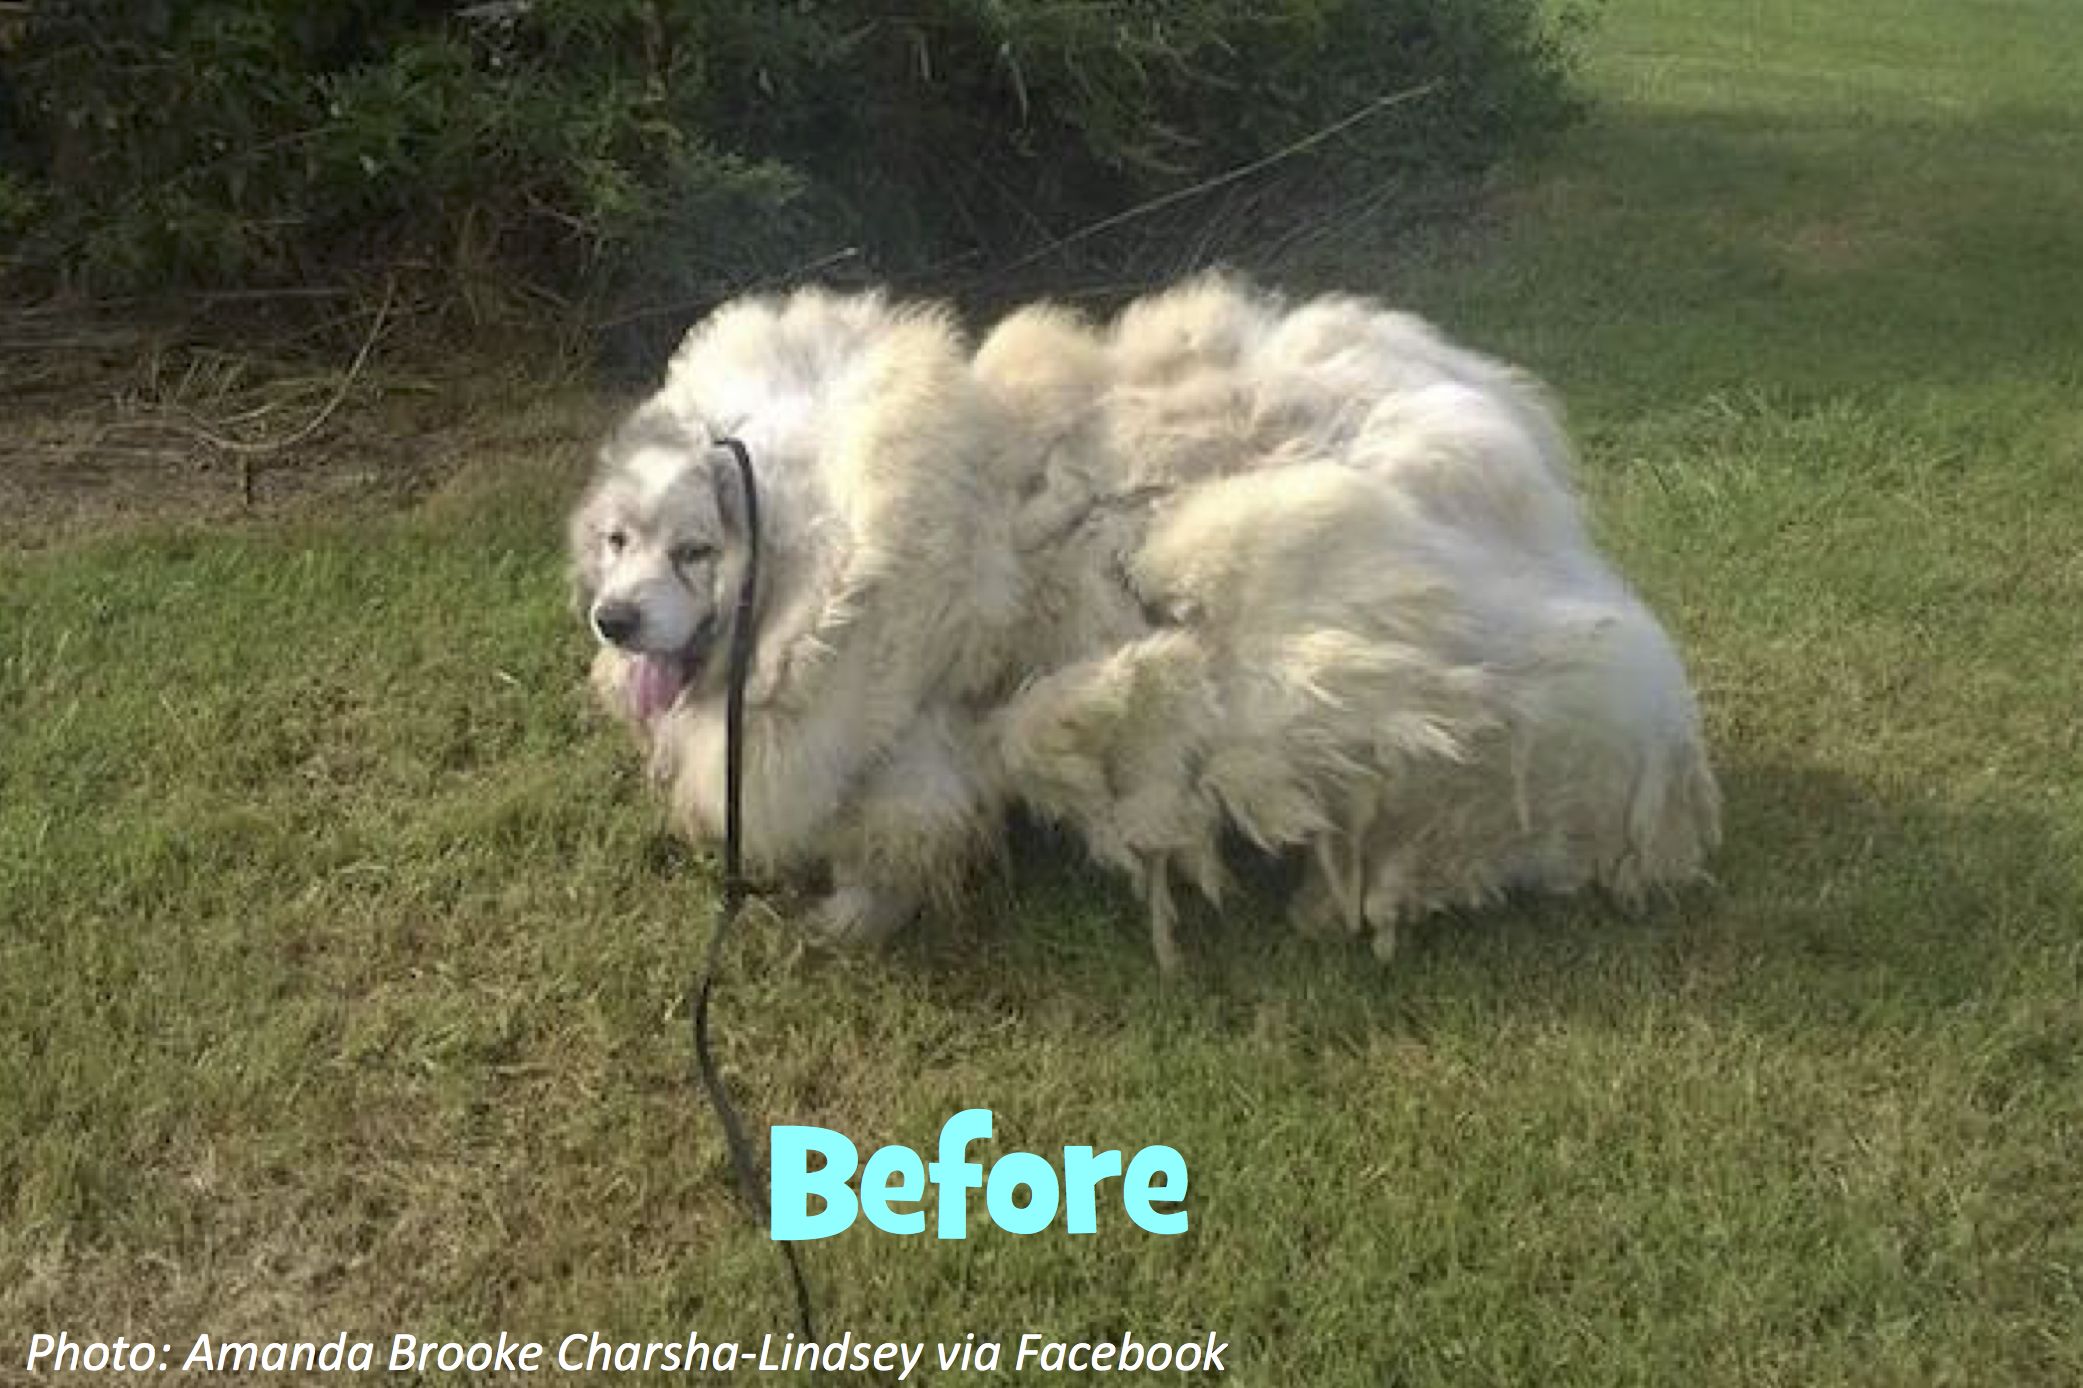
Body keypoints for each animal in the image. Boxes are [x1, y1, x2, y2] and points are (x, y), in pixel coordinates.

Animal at [566, 270, 1708, 962]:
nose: (613, 622)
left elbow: (892, 839)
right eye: (617, 540)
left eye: (695, 551)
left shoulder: (911, 745)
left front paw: (848, 923)